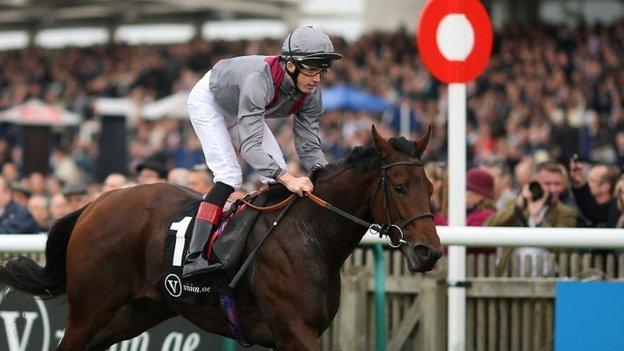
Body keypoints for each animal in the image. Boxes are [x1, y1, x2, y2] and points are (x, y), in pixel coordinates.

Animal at [0, 126, 444, 350]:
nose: (429, 251)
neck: (310, 237)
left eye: (430, 188)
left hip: (135, 311)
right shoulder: (294, 331)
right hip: (90, 309)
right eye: (399, 187)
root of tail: (95, 203)